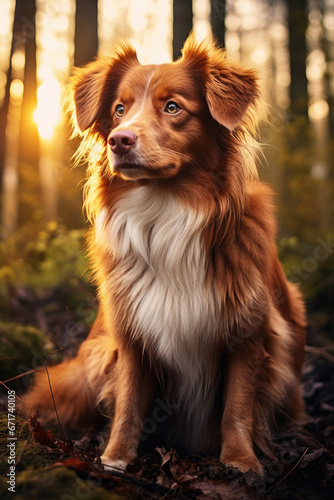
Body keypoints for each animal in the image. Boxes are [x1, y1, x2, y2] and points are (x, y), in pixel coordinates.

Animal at [23, 35, 306, 476]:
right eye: (119, 110)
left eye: (173, 107)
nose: (119, 140)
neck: (166, 209)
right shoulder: (131, 331)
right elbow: (128, 404)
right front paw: (114, 459)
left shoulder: (248, 331)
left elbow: (237, 406)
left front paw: (241, 461)